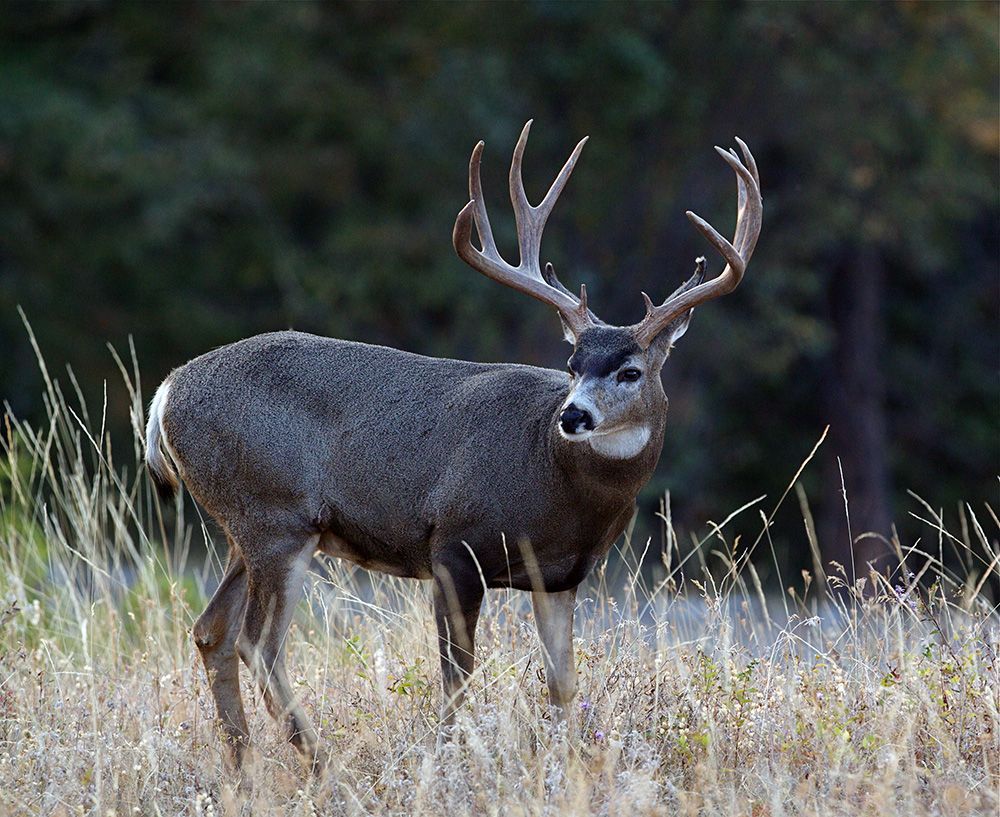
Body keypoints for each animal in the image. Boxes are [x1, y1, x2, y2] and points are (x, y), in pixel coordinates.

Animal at [144, 121, 761, 773]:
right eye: (572, 364)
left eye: (630, 371)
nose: (572, 415)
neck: (553, 479)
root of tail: (165, 393)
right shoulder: (455, 546)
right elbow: (456, 677)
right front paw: (446, 764)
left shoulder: (561, 576)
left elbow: (562, 684)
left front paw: (570, 765)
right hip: (274, 517)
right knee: (257, 643)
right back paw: (321, 764)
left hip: (247, 526)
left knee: (210, 631)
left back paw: (244, 768)